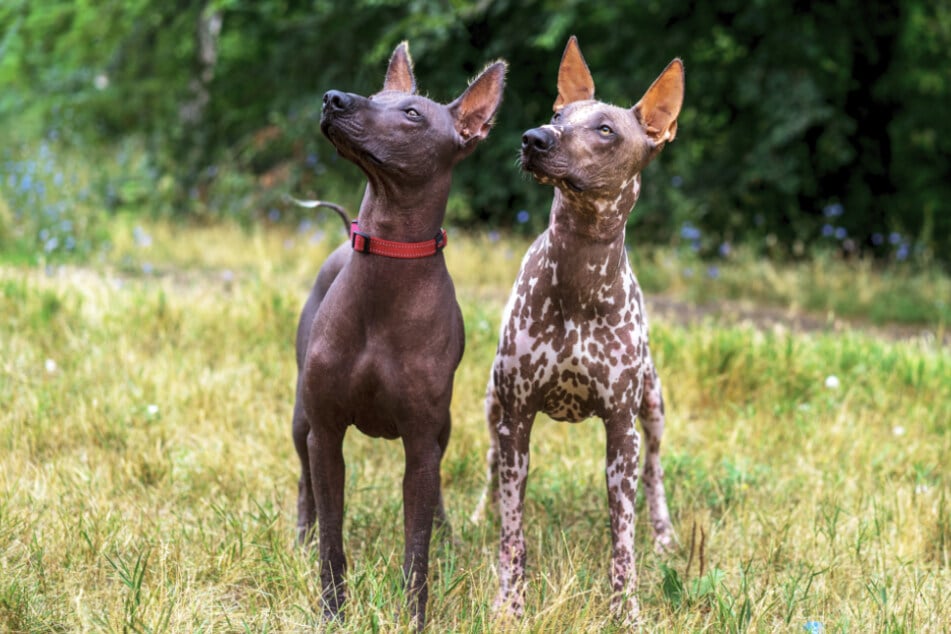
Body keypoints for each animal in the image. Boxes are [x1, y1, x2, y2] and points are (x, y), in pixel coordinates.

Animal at [294, 42, 506, 624]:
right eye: (376, 94)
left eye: (412, 114)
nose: (334, 98)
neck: (387, 260)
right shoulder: (326, 433)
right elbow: (333, 539)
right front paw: (333, 612)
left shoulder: (421, 442)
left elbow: (417, 547)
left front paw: (415, 617)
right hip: (301, 420)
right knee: (304, 482)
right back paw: (298, 535)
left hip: (442, 431)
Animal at [474, 34, 684, 624]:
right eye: (557, 115)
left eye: (606, 129)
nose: (534, 138)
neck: (579, 275)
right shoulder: (517, 419)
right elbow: (513, 533)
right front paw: (510, 602)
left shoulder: (621, 432)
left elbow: (623, 539)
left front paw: (626, 610)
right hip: (492, 403)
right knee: (491, 467)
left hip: (653, 407)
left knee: (655, 473)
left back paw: (665, 535)